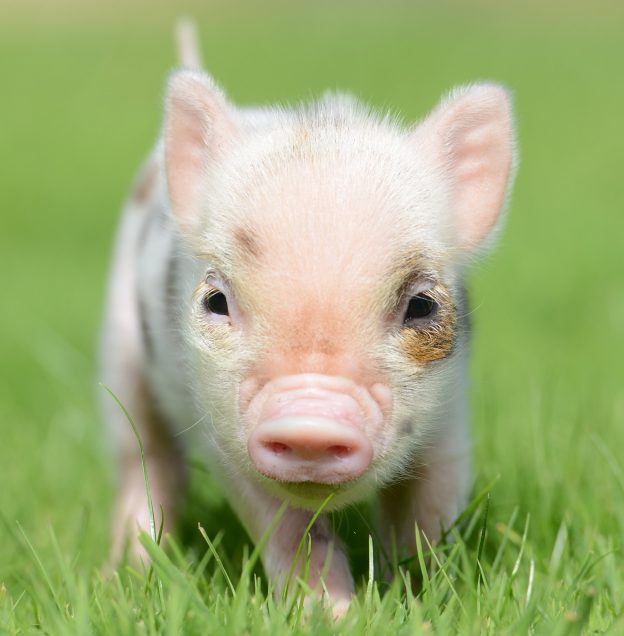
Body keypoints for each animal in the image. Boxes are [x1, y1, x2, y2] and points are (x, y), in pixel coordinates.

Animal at [100, 22, 516, 612]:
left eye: (422, 305)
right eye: (216, 300)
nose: (310, 420)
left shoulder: (452, 412)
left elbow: (428, 509)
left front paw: (423, 600)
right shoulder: (219, 430)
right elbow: (288, 528)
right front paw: (334, 613)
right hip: (120, 353)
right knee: (146, 464)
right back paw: (123, 580)